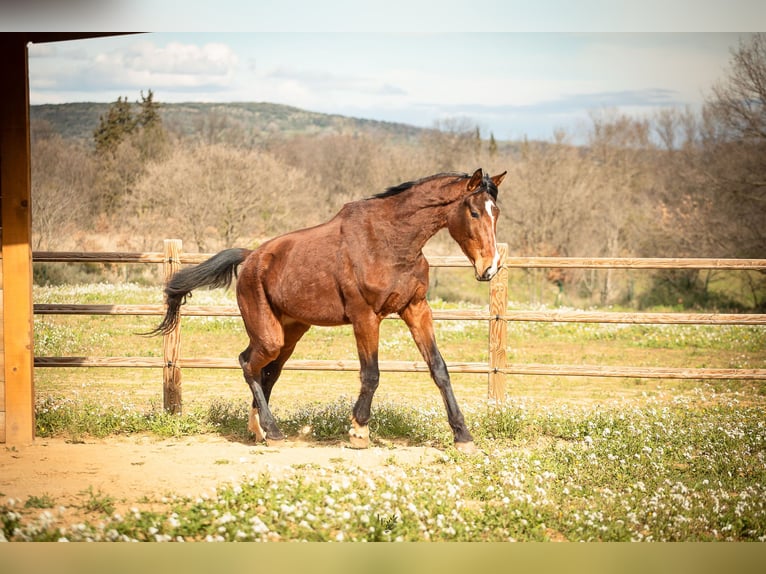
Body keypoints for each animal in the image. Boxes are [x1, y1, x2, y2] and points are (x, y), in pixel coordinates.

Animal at [152, 169, 508, 452]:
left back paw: (260, 430)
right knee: (247, 365)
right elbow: (371, 374)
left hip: (290, 333)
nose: (489, 268)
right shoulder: (366, 317)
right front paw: (359, 431)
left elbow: (439, 370)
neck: (390, 241)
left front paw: (463, 437)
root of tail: (251, 256)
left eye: (497, 213)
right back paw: (273, 431)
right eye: (474, 212)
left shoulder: (416, 309)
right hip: (270, 336)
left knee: (266, 372)